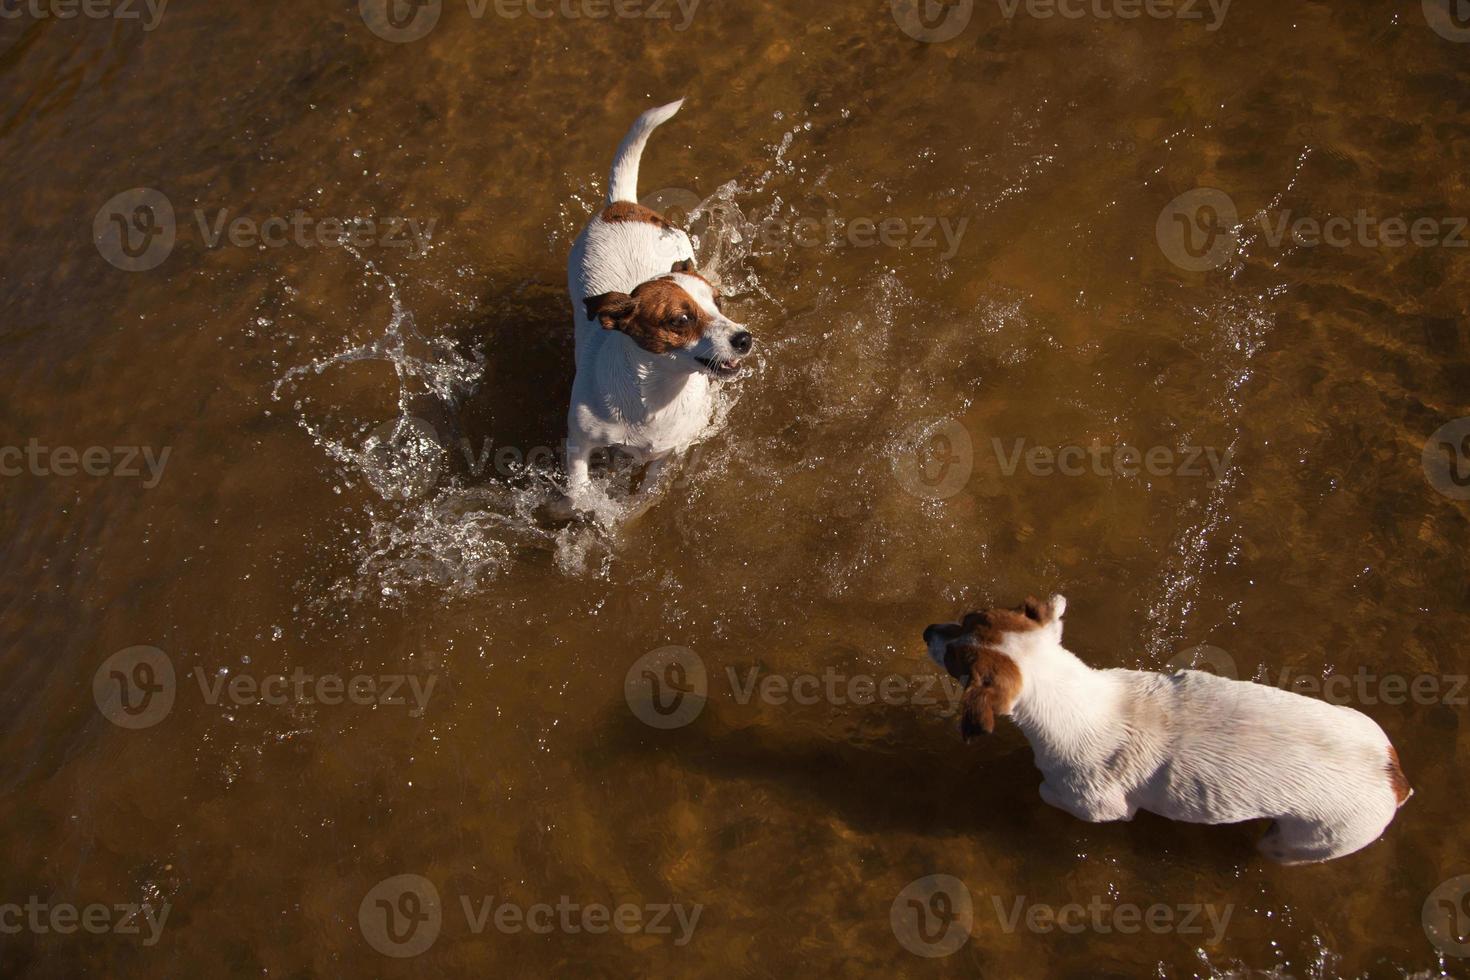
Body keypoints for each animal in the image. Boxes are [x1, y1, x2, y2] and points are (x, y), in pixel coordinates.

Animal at [917, 599, 1411, 863]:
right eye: (969, 617)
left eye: (956, 662)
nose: (925, 629)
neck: (1077, 697)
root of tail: (1395, 780)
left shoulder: (1097, 805)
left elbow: (1046, 790)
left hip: (1305, 841)